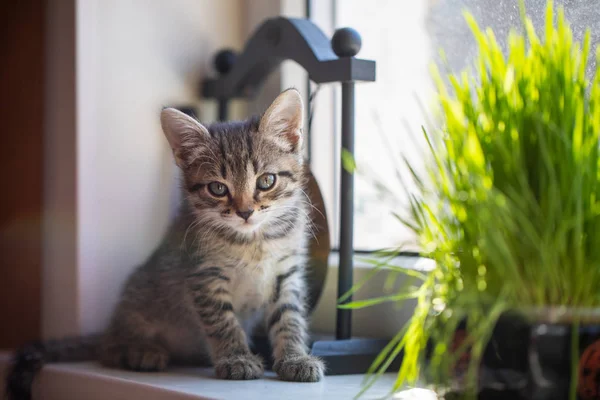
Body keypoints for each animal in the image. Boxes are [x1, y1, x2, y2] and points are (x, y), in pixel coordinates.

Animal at [5, 89, 324, 398]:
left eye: (266, 181)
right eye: (217, 188)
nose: (245, 212)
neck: (253, 240)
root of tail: (110, 328)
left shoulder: (287, 272)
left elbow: (290, 317)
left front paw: (295, 358)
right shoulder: (204, 275)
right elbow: (223, 321)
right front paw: (237, 358)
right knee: (107, 350)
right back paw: (140, 351)